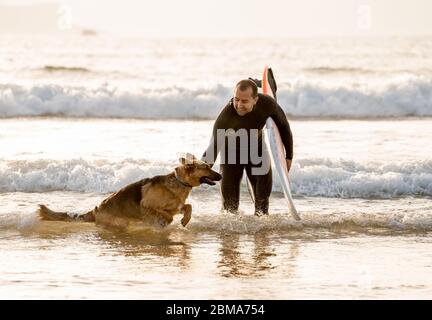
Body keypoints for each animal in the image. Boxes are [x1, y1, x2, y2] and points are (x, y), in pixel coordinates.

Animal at [37, 154, 221, 229]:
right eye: (206, 167)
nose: (220, 175)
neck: (178, 182)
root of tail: (96, 210)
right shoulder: (146, 205)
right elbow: (164, 214)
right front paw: (165, 222)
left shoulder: (177, 206)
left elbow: (187, 207)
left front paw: (184, 220)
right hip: (120, 222)